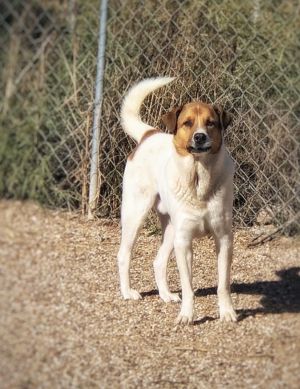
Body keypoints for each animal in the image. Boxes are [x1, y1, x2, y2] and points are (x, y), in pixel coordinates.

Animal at [117, 77, 237, 322]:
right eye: (187, 123)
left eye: (211, 123)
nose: (200, 137)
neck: (198, 179)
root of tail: (150, 134)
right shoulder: (184, 242)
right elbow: (188, 285)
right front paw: (187, 316)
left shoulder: (223, 239)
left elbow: (223, 284)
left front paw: (227, 312)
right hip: (135, 214)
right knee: (124, 254)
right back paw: (127, 292)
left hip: (171, 227)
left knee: (158, 261)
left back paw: (165, 295)